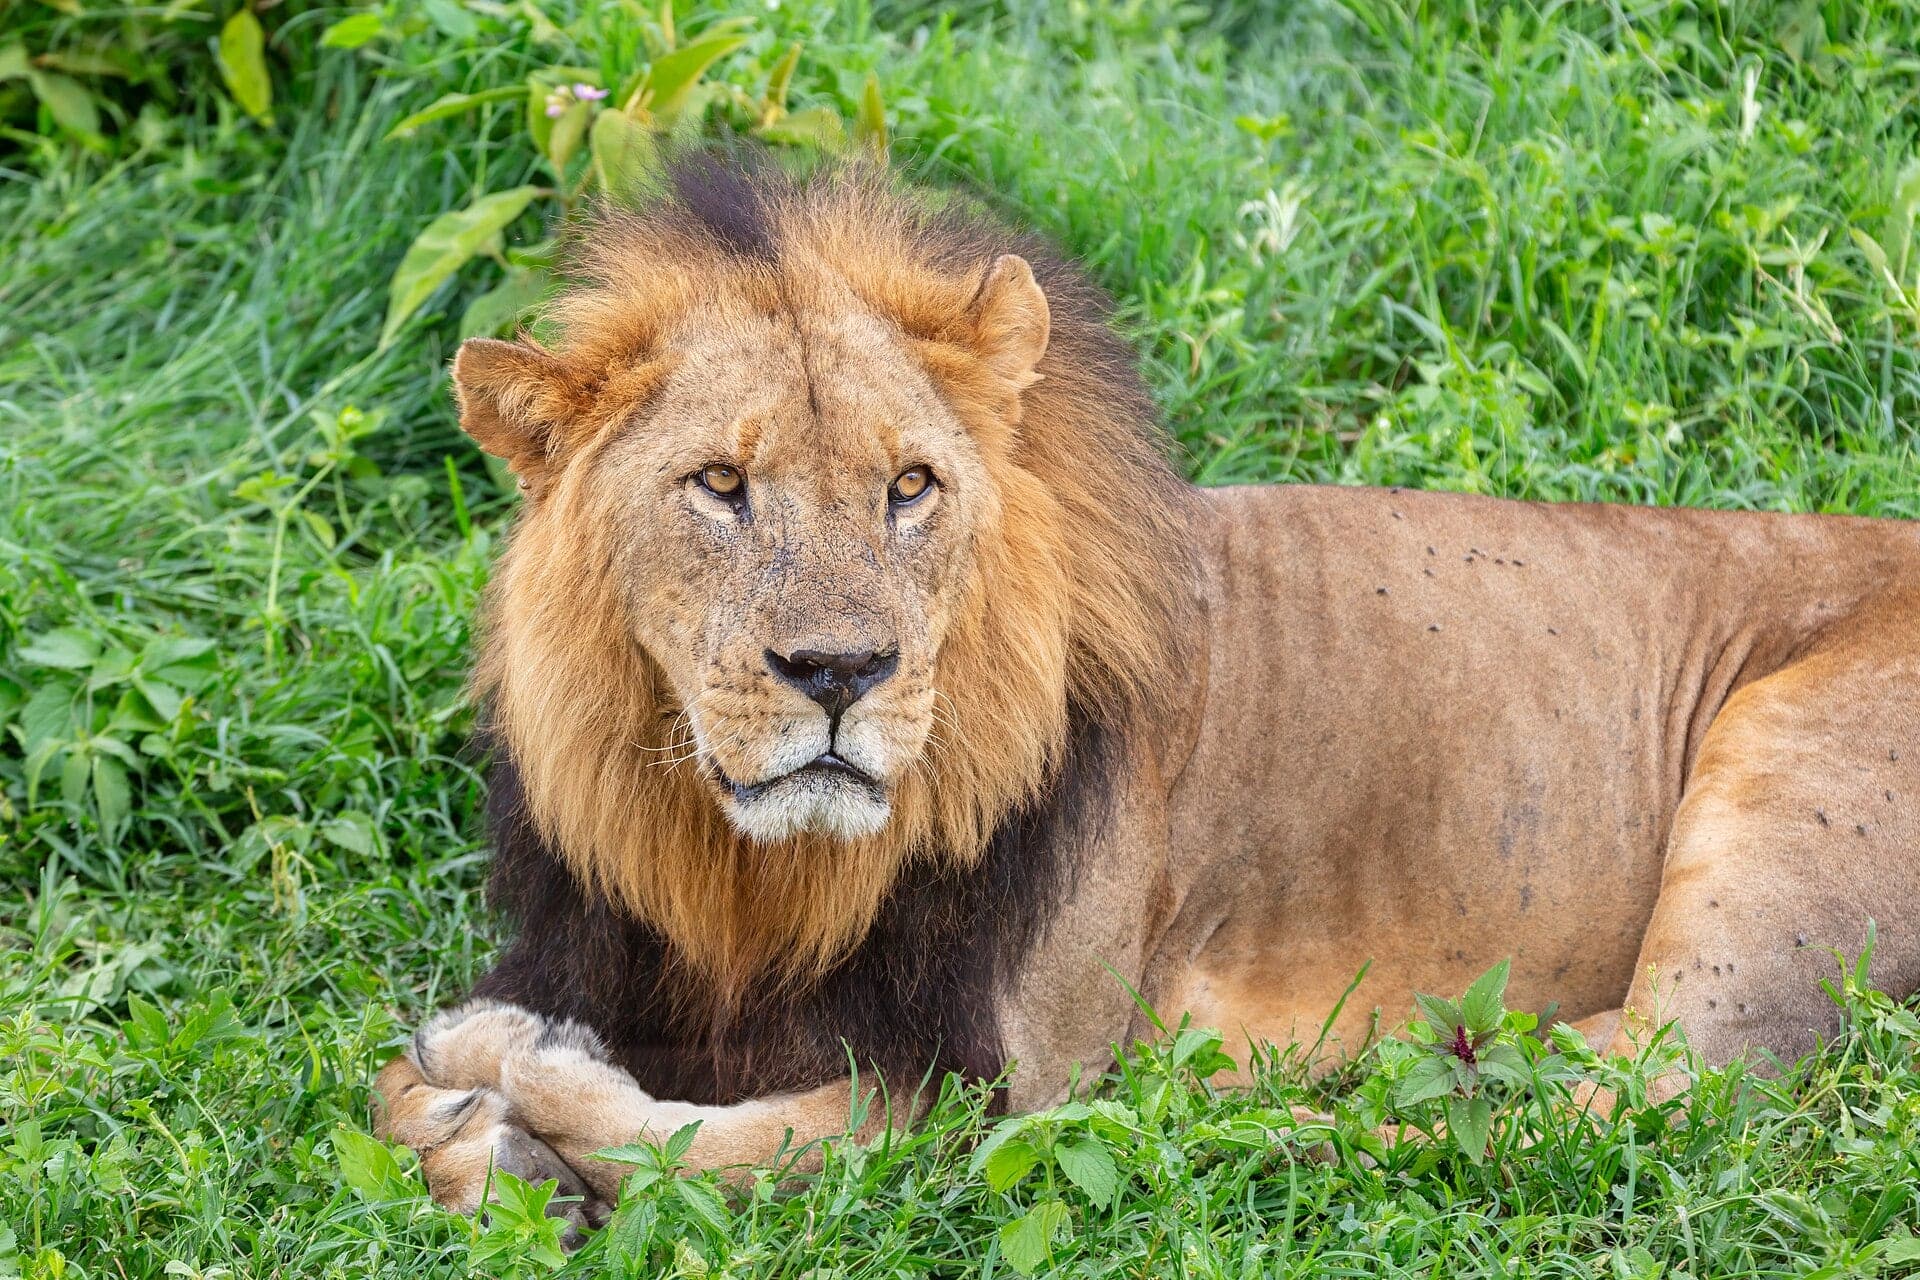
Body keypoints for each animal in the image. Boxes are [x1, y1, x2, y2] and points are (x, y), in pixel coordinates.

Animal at [374, 156, 1920, 1228]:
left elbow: (744, 1143)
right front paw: (479, 1133)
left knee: (1627, 1097)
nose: (838, 673)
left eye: (910, 486)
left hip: (1773, 785)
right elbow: (388, 1096)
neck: (754, 880)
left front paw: (508, 1078)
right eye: (718, 484)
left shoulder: (998, 1073)